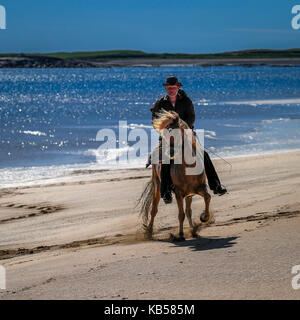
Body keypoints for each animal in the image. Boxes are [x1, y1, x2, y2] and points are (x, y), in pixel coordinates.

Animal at [138, 109, 213, 241]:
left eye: (175, 131)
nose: (167, 152)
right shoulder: (178, 193)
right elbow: (180, 214)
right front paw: (181, 234)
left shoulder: (200, 188)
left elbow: (207, 197)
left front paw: (204, 217)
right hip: (158, 187)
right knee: (154, 210)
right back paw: (149, 232)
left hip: (189, 194)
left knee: (188, 211)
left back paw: (193, 230)